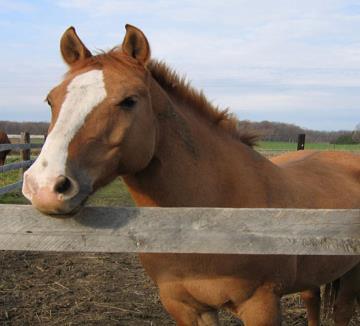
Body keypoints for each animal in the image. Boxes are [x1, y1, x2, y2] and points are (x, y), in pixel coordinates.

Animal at [22, 26, 360, 326]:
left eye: (129, 101)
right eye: (51, 100)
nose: (45, 186)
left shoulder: (260, 305)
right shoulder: (185, 306)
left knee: (341, 312)